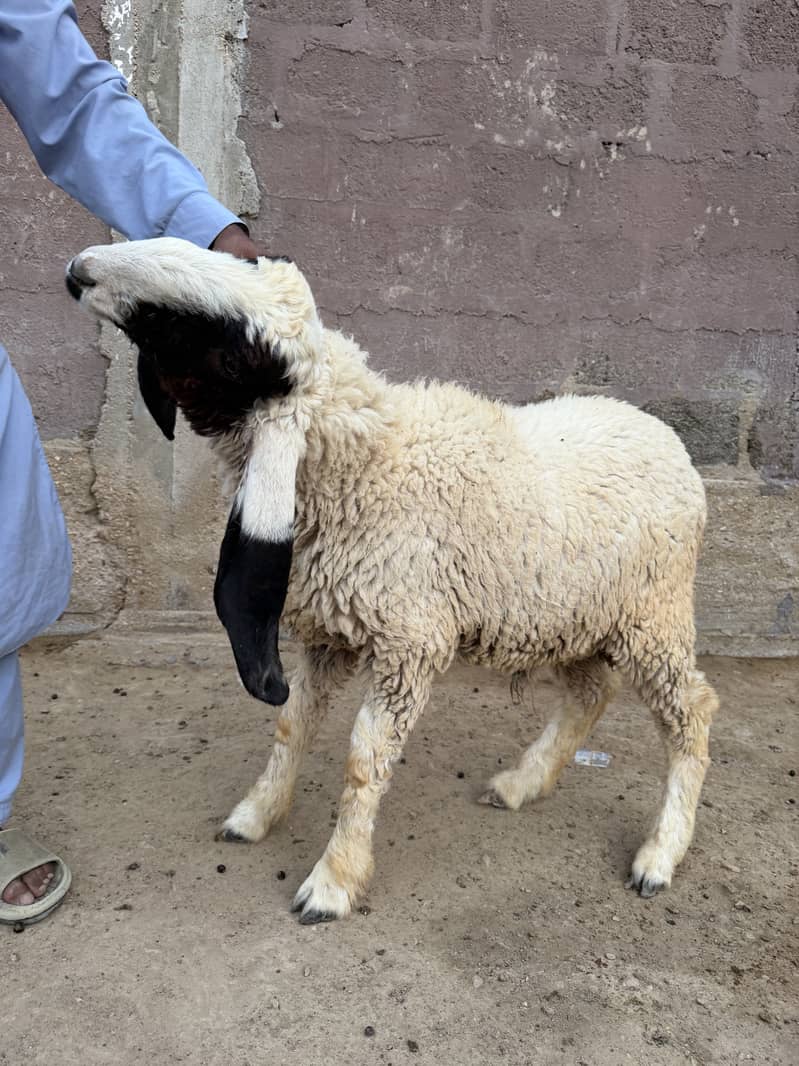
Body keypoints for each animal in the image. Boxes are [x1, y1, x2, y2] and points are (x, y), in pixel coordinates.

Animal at [66, 237, 719, 924]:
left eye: (227, 348)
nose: (80, 270)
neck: (370, 469)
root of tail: (666, 438)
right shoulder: (327, 634)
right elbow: (291, 725)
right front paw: (257, 814)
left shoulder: (411, 643)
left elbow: (364, 760)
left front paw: (333, 880)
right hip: (573, 614)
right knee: (590, 692)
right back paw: (521, 783)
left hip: (654, 615)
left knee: (691, 713)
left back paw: (660, 853)